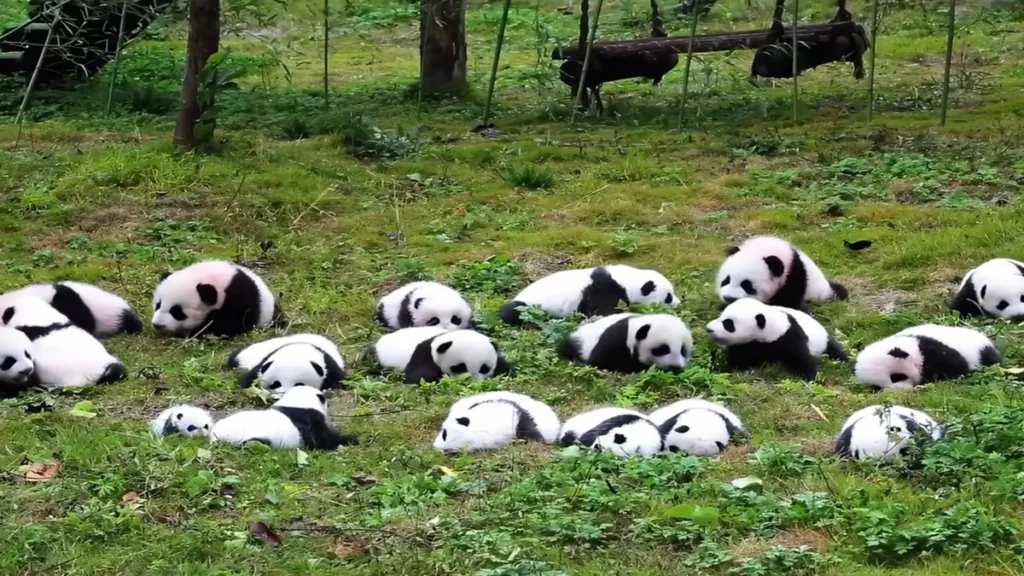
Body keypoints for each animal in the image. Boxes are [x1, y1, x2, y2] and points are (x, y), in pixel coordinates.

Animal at [211, 386, 357, 450]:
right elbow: (323, 439)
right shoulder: (310, 420)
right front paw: (350, 439)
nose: (329, 404)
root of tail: (216, 435)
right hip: (254, 440)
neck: (298, 401)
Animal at [499, 265, 679, 325]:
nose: (678, 303)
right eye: (668, 297)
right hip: (529, 306)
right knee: (511, 312)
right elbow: (602, 309)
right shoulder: (604, 289)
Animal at [705, 298, 847, 381]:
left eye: (728, 324)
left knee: (835, 350)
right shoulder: (749, 344)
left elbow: (800, 357)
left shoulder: (789, 335)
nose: (709, 329)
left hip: (822, 340)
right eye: (721, 316)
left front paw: (810, 376)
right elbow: (739, 358)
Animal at [716, 236, 847, 309]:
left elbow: (787, 302)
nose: (729, 298)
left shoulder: (793, 274)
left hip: (820, 293)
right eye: (726, 280)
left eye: (747, 285)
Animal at [854, 324, 1001, 390]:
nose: (900, 390)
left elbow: (952, 368)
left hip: (981, 352)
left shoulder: (933, 350)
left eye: (896, 377)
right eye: (876, 387)